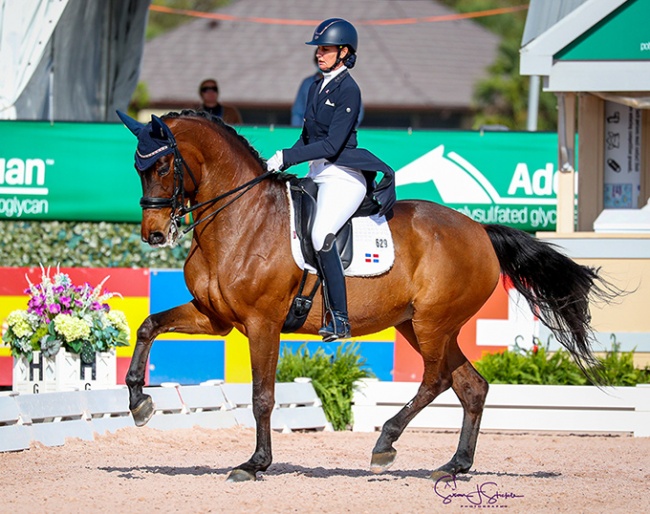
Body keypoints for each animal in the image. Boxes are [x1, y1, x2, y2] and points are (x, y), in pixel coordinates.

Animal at [120, 109, 612, 480]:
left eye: (162, 166)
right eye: (136, 169)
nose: (154, 234)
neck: (241, 218)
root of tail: (479, 230)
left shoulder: (263, 323)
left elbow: (262, 396)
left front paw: (255, 464)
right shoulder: (215, 318)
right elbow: (148, 326)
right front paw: (140, 402)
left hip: (433, 323)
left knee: (436, 381)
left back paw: (385, 443)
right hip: (420, 324)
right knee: (471, 387)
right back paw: (453, 466)